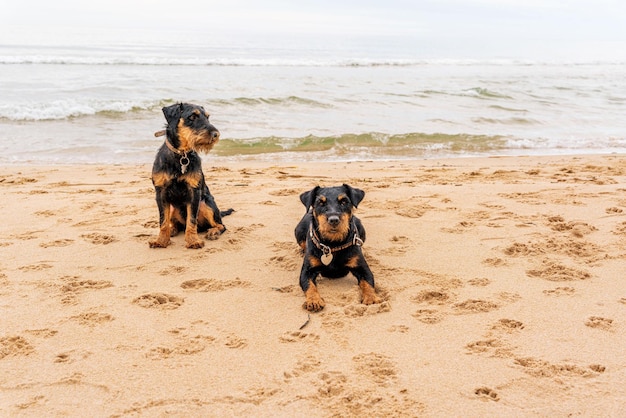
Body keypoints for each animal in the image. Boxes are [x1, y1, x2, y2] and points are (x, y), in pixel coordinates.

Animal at [150, 103, 233, 250]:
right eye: (192, 117)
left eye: (207, 117)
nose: (216, 134)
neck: (181, 155)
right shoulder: (161, 193)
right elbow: (163, 220)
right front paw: (161, 241)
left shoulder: (194, 193)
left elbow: (192, 220)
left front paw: (193, 241)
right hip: (173, 208)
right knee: (176, 224)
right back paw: (173, 230)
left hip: (206, 203)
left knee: (221, 225)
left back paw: (213, 232)